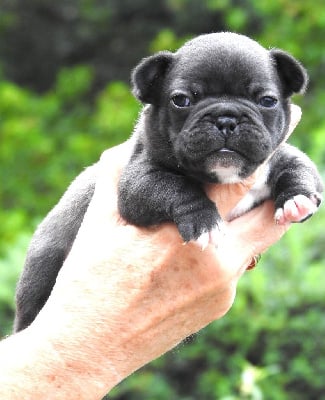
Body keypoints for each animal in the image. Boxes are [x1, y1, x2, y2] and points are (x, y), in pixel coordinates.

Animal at [14, 31, 322, 332]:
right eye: (182, 100)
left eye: (267, 101)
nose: (226, 119)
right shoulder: (139, 179)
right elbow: (175, 187)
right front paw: (202, 220)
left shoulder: (279, 155)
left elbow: (299, 168)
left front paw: (297, 199)